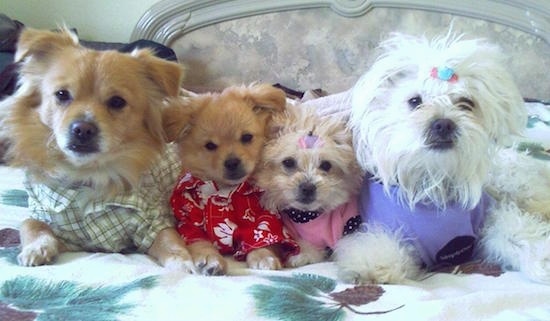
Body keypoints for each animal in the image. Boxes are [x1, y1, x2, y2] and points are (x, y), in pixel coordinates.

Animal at [334, 31, 550, 282]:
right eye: (415, 101)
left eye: (466, 103)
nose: (443, 124)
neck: (433, 184)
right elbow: (383, 250)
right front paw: (370, 267)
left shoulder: (487, 218)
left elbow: (515, 231)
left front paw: (542, 255)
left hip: (514, 183)